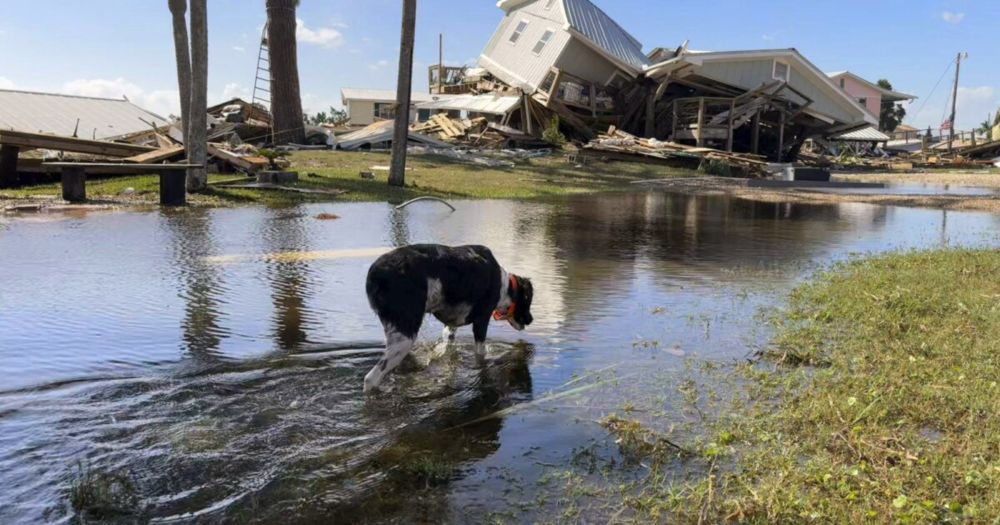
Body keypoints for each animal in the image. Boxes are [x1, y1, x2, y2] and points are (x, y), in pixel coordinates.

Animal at [360, 244, 532, 390]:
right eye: (528, 300)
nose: (531, 320)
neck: (504, 285)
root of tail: (375, 273)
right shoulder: (481, 321)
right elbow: (480, 355)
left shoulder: (451, 326)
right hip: (404, 338)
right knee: (370, 379)